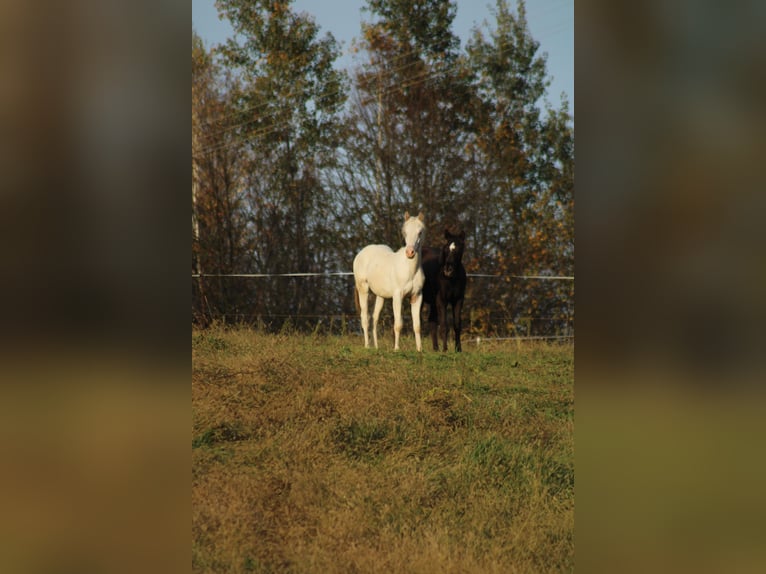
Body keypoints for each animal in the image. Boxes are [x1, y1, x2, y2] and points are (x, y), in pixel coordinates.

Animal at [354, 214, 426, 354]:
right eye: (404, 232)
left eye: (420, 232)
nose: (410, 253)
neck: (410, 270)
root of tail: (360, 254)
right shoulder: (397, 296)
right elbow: (398, 324)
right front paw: (396, 349)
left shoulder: (417, 296)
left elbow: (417, 326)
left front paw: (419, 349)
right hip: (363, 289)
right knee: (365, 317)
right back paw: (367, 346)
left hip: (380, 296)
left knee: (374, 318)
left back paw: (376, 347)